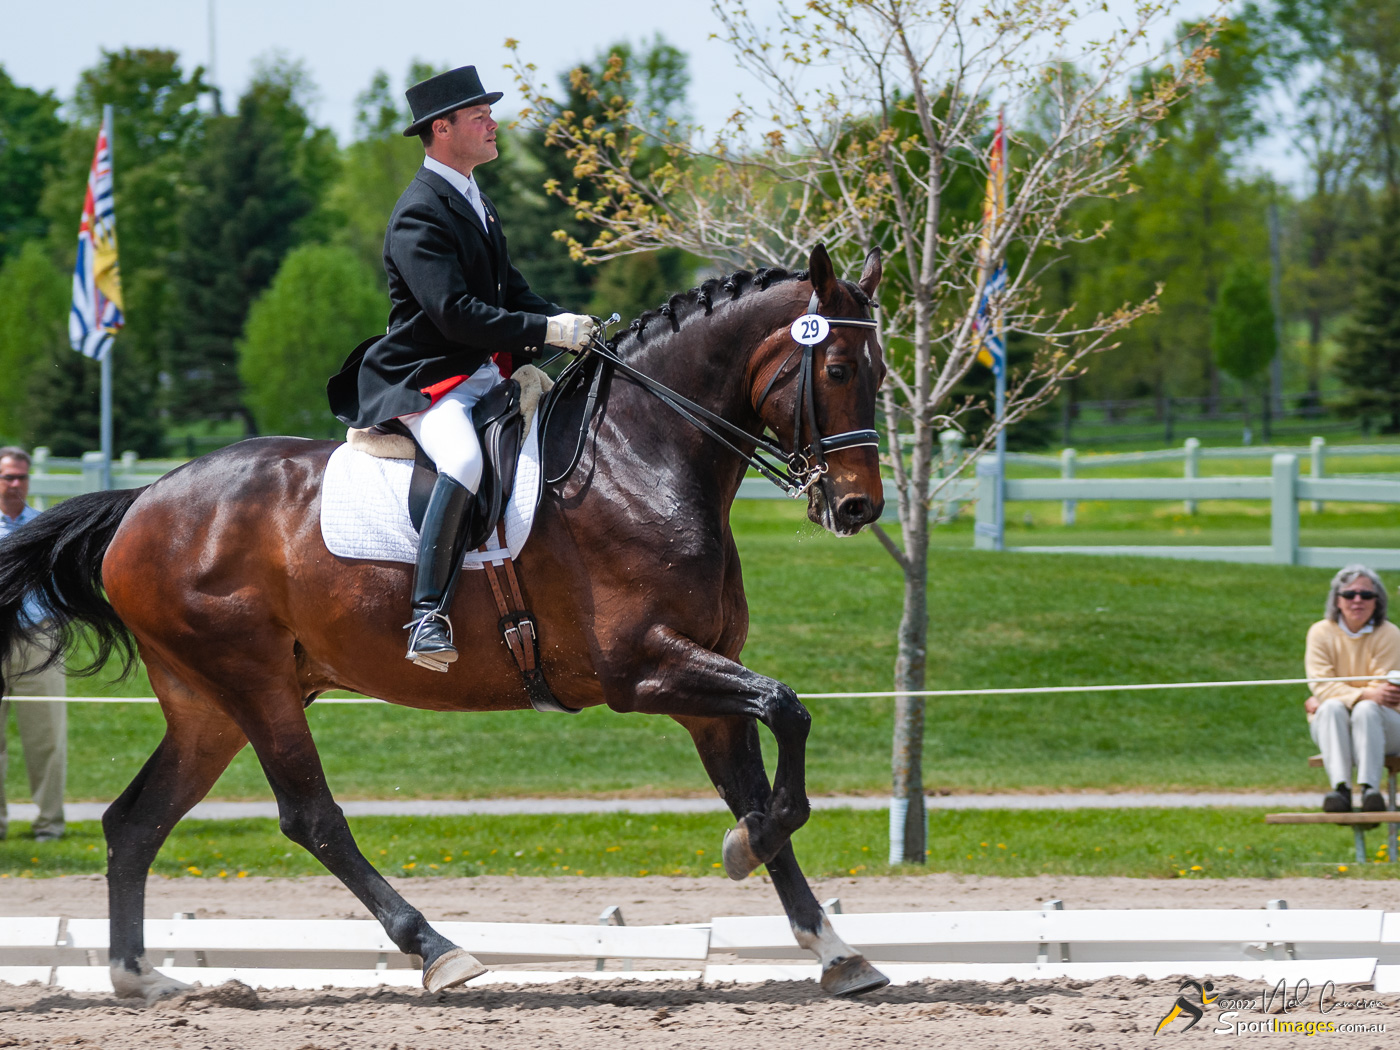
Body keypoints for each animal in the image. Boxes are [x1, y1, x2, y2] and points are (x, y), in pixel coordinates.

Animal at [0, 245, 890, 1002]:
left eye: (881, 372)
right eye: (839, 368)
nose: (858, 508)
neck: (643, 459)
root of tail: (142, 502)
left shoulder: (702, 680)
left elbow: (761, 778)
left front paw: (835, 949)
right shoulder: (643, 669)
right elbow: (788, 712)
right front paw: (751, 849)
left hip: (207, 704)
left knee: (135, 821)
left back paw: (141, 978)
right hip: (253, 683)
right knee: (310, 818)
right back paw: (437, 950)